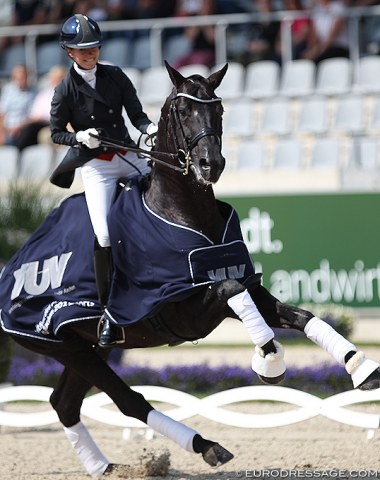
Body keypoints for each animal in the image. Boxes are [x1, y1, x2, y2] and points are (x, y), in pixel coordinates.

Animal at [0, 62, 380, 476]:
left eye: (220, 110)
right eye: (182, 111)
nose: (210, 165)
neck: (184, 212)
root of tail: (13, 267)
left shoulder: (241, 282)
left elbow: (299, 314)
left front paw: (361, 368)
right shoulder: (184, 310)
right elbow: (231, 292)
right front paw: (269, 359)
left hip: (87, 347)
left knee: (64, 402)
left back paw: (106, 468)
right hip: (63, 345)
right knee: (127, 400)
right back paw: (206, 446)